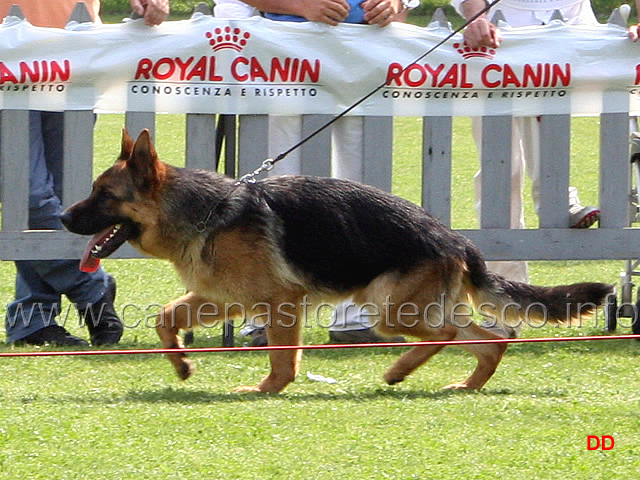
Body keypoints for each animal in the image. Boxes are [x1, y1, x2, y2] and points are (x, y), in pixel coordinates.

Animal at [62, 129, 612, 392]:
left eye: (103, 195)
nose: (64, 217)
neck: (206, 212)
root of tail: (457, 240)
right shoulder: (224, 299)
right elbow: (164, 317)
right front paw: (180, 363)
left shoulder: (280, 303)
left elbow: (283, 360)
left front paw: (266, 389)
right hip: (412, 307)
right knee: (491, 339)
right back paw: (461, 384)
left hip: (389, 309)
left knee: (448, 335)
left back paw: (399, 371)